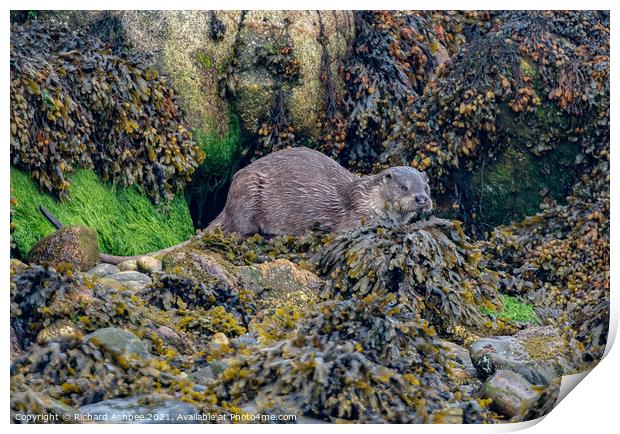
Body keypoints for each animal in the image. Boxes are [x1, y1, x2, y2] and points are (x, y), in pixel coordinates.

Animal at [40, 147, 432, 264]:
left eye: (425, 184)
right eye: (404, 185)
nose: (423, 199)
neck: (366, 198)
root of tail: (227, 203)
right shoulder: (352, 218)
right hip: (249, 194)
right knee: (241, 231)